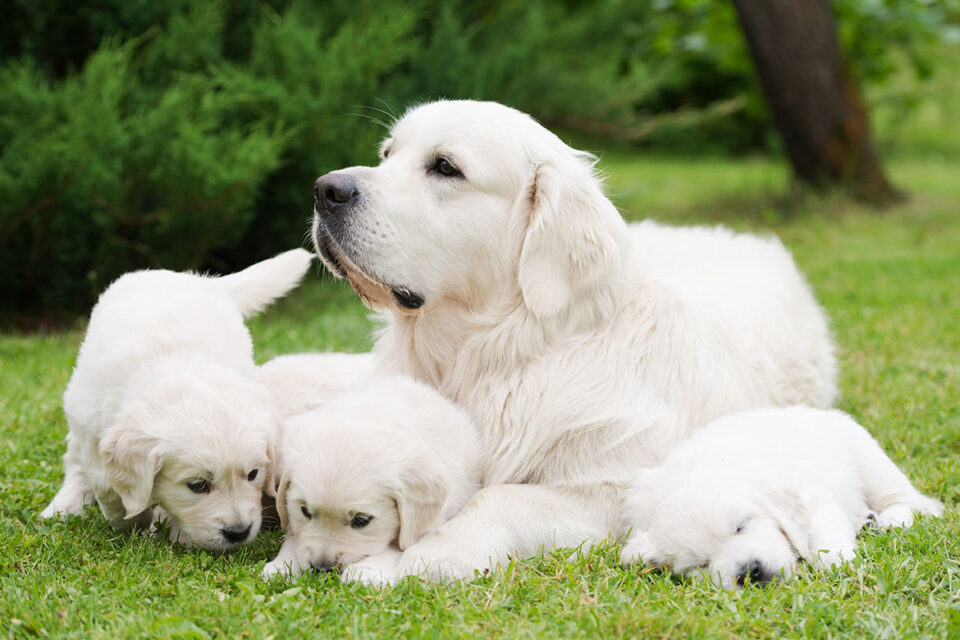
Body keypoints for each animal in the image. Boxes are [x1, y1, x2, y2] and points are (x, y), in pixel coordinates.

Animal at [41, 250, 314, 552]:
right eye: (197, 485)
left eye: (253, 474)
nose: (239, 532)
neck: (176, 364)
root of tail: (190, 277)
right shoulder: (93, 432)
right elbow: (108, 488)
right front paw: (133, 520)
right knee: (74, 461)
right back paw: (64, 505)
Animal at [260, 376, 480, 580]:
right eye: (305, 511)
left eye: (361, 521)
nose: (322, 568)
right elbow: (293, 535)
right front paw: (281, 566)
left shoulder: (430, 522)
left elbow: (397, 546)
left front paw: (367, 571)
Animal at [310, 99, 840, 580]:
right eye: (387, 153)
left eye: (445, 167)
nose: (325, 189)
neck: (498, 354)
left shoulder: (618, 488)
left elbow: (499, 496)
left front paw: (434, 552)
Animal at [620, 408, 940, 588]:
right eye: (700, 565)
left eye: (741, 526)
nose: (749, 572)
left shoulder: (813, 496)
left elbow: (820, 530)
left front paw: (838, 562)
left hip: (868, 459)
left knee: (917, 501)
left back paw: (891, 520)